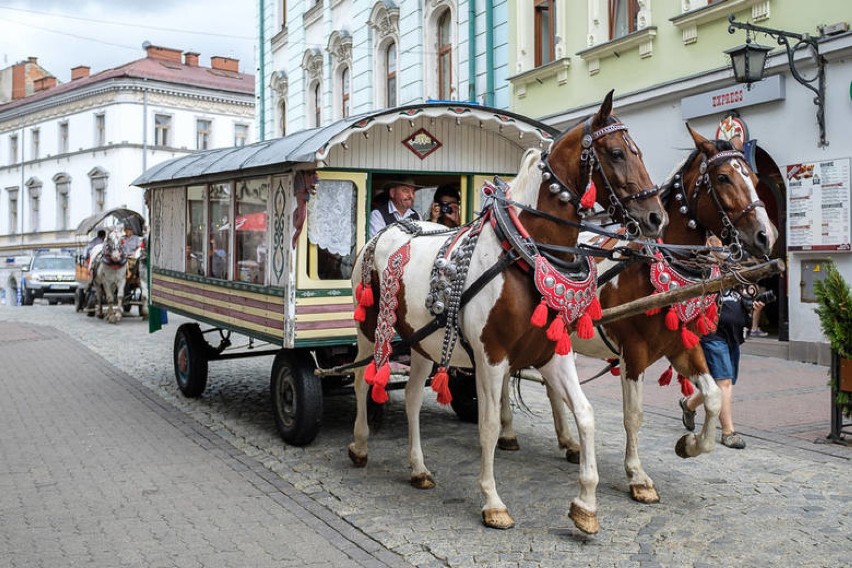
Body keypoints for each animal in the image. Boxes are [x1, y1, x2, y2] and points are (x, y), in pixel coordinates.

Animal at [346, 91, 664, 536]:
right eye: (617, 152)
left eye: (638, 151)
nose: (655, 217)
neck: (525, 256)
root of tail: (388, 232)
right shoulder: (491, 357)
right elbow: (490, 425)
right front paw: (493, 502)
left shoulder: (554, 353)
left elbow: (584, 415)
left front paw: (585, 504)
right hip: (368, 330)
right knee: (362, 381)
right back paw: (359, 446)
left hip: (423, 343)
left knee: (410, 399)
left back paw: (418, 468)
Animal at [500, 127, 780, 502]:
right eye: (723, 178)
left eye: (753, 177)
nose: (767, 235)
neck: (656, 267)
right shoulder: (634, 352)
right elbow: (633, 415)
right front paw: (638, 477)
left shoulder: (683, 347)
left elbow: (713, 397)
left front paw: (690, 444)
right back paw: (507, 433)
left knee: (551, 387)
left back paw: (569, 442)